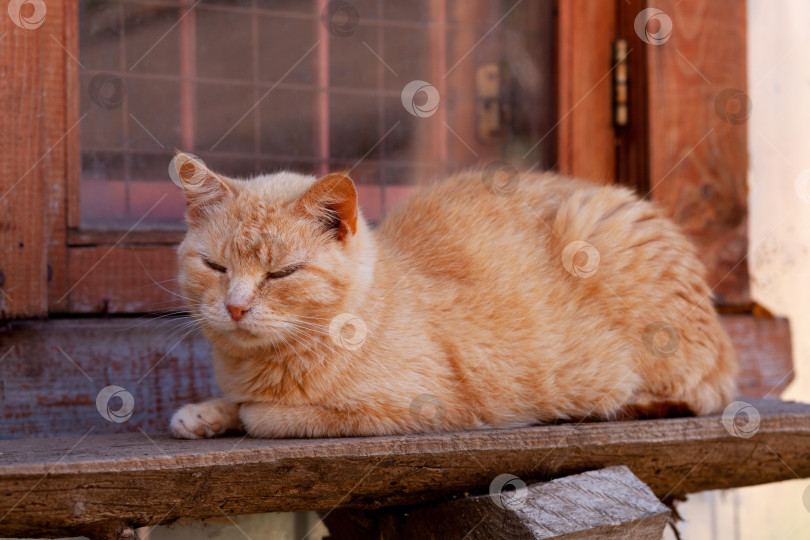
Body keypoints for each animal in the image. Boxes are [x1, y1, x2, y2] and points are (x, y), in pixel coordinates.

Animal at [167, 153, 736, 438]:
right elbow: (234, 402)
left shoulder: (418, 406)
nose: (236, 306)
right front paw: (205, 413)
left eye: (281, 273)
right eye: (215, 266)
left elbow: (264, 415)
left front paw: (237, 413)